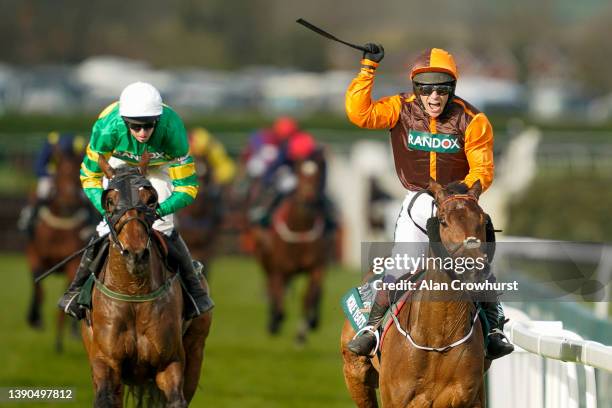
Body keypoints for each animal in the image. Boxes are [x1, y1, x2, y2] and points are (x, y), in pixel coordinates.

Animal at [25, 148, 91, 352]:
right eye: (59, 173)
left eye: (76, 173)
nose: (69, 201)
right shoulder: (34, 256)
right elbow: (39, 288)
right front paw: (36, 319)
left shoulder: (73, 263)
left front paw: (59, 342)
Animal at [81, 155, 210, 404]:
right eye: (109, 201)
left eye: (151, 200)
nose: (136, 254)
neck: (133, 292)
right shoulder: (105, 363)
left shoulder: (170, 363)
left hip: (196, 349)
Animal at [342, 182, 494, 408]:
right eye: (443, 221)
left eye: (483, 220)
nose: (473, 269)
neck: (438, 338)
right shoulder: (395, 399)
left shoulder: (468, 397)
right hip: (355, 375)